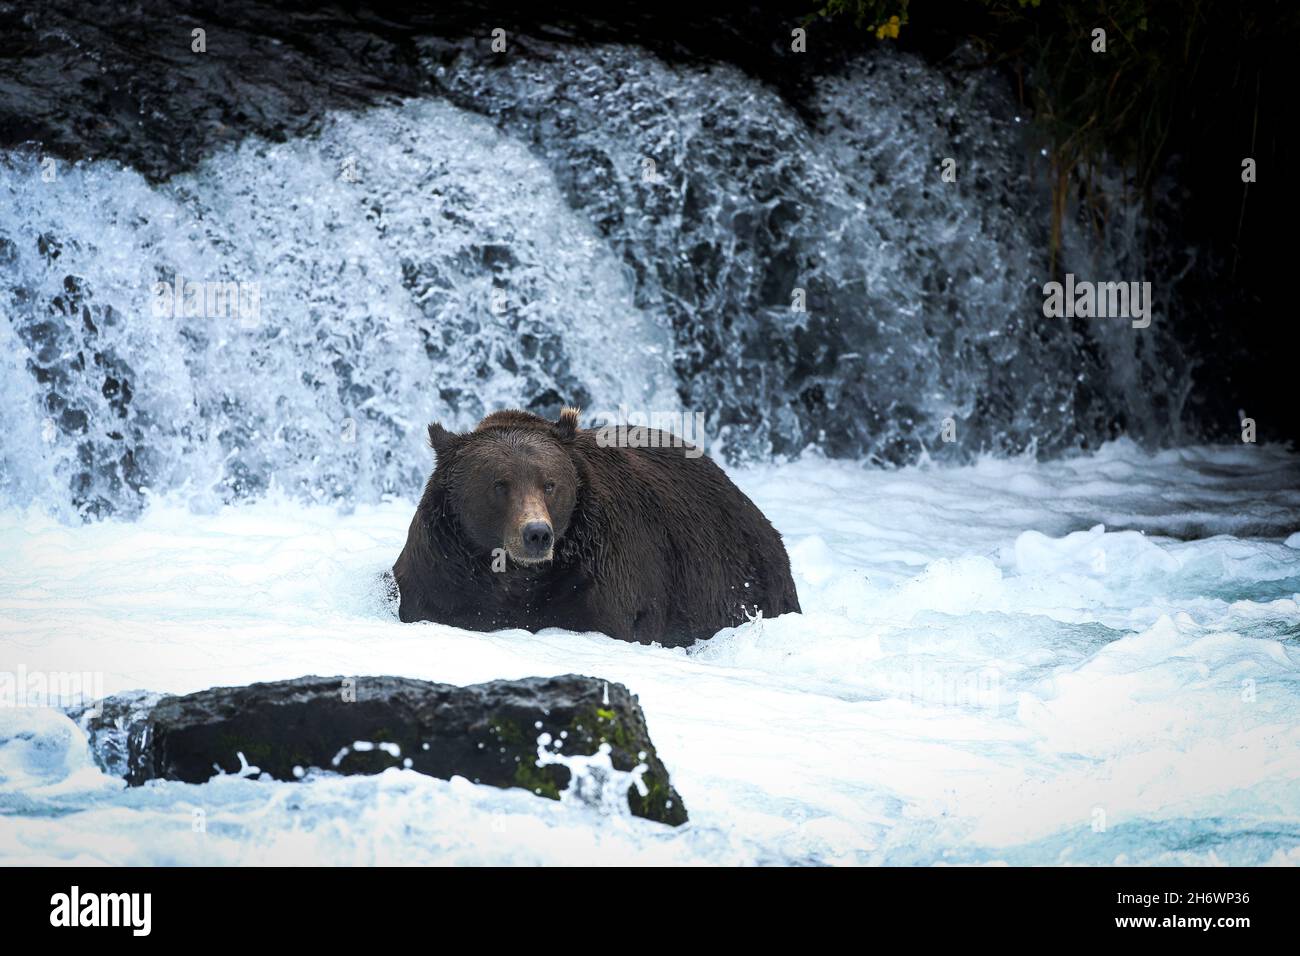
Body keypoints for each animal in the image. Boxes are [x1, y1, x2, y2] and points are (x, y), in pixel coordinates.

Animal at [392, 408, 800, 647]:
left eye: (549, 483)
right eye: (499, 484)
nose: (536, 534)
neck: (519, 578)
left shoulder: (601, 571)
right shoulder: (444, 569)